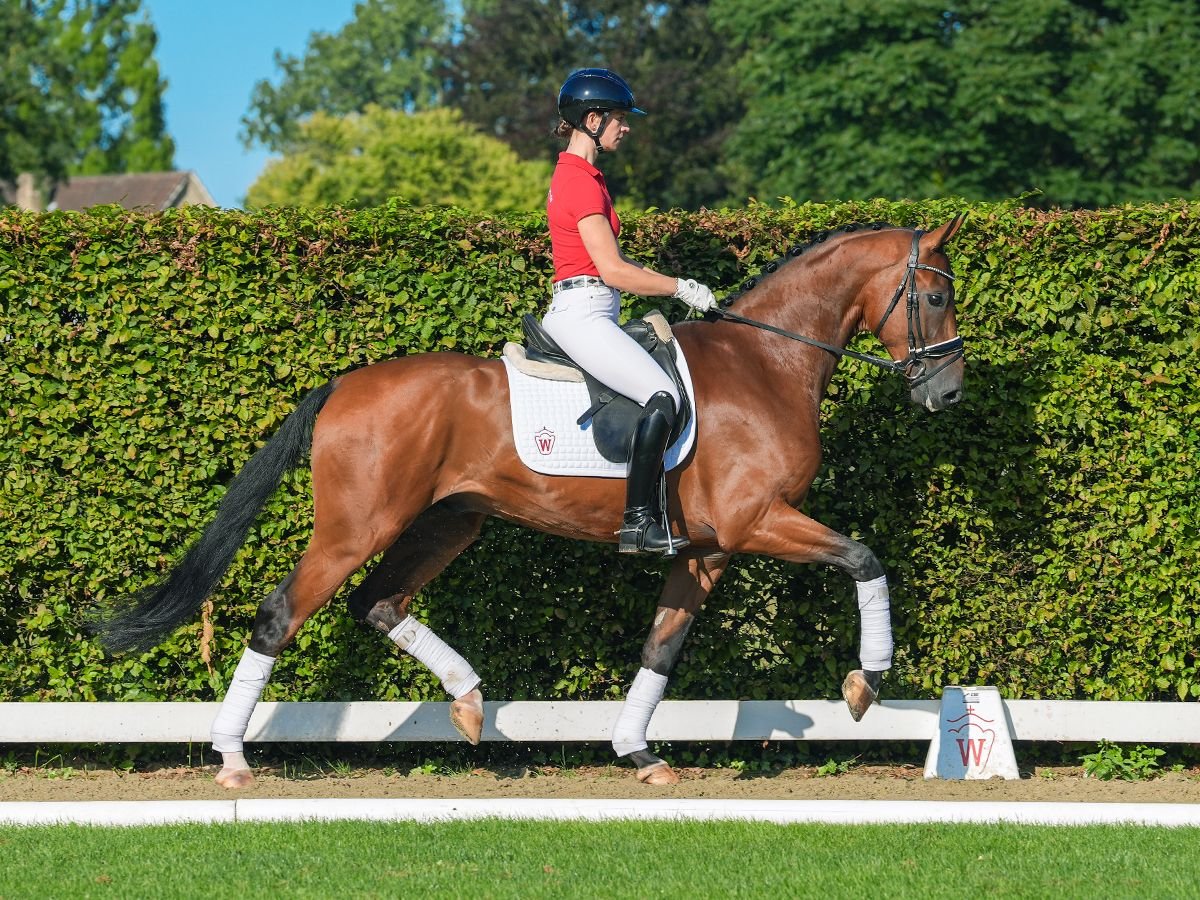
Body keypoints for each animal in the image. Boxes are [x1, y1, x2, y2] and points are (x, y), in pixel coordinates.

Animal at [98, 214, 969, 787]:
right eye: (933, 299)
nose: (949, 392)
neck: (768, 360)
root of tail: (343, 385)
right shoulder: (758, 522)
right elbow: (864, 559)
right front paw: (867, 683)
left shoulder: (710, 548)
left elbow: (660, 649)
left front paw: (638, 753)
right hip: (356, 527)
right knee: (284, 612)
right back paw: (232, 758)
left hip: (449, 522)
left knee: (378, 604)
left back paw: (470, 701)